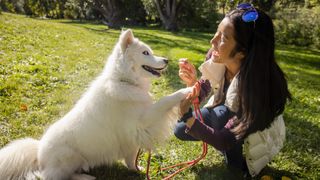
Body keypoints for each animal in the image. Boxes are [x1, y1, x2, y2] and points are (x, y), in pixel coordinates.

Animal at [0, 29, 191, 180]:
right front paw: (186, 90)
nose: (166, 60)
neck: (124, 81)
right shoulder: (141, 122)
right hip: (69, 157)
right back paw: (85, 177)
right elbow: (164, 101)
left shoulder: (132, 137)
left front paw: (138, 169)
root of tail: (38, 151)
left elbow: (131, 158)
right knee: (53, 176)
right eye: (145, 53)